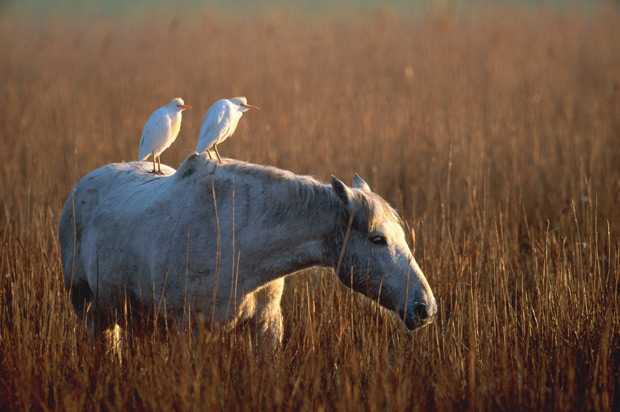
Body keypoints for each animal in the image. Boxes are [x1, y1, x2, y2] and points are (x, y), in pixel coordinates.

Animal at [57, 153, 436, 346]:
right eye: (377, 239)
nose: (425, 308)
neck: (239, 246)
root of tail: (79, 189)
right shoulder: (190, 331)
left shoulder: (266, 326)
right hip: (92, 316)